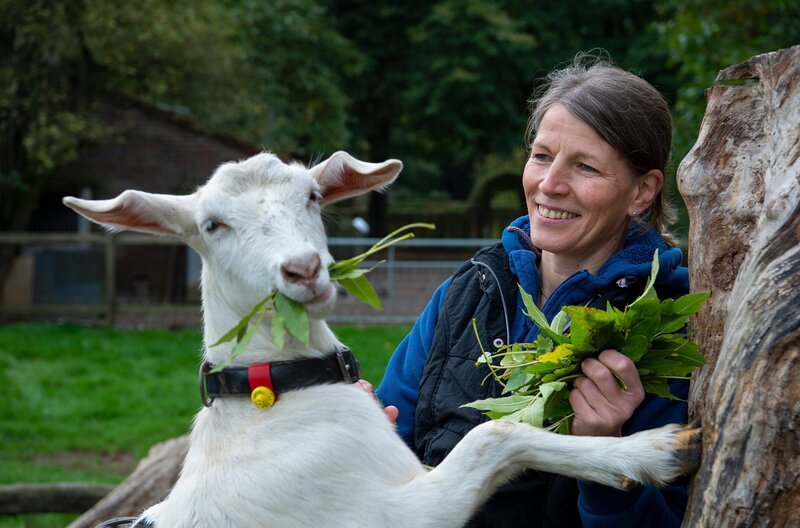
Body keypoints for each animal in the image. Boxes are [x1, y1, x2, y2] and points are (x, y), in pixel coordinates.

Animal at [64, 151, 699, 528]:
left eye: (311, 196)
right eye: (211, 225)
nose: (303, 270)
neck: (272, 396)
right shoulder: (397, 514)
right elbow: (495, 437)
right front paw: (655, 451)